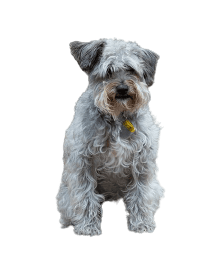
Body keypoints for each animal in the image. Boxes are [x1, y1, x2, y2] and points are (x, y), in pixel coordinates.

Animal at [55, 36, 166, 236]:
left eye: (131, 70)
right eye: (108, 71)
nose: (122, 89)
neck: (117, 118)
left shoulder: (142, 164)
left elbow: (141, 195)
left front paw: (142, 224)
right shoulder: (83, 164)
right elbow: (85, 197)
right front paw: (88, 227)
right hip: (64, 194)